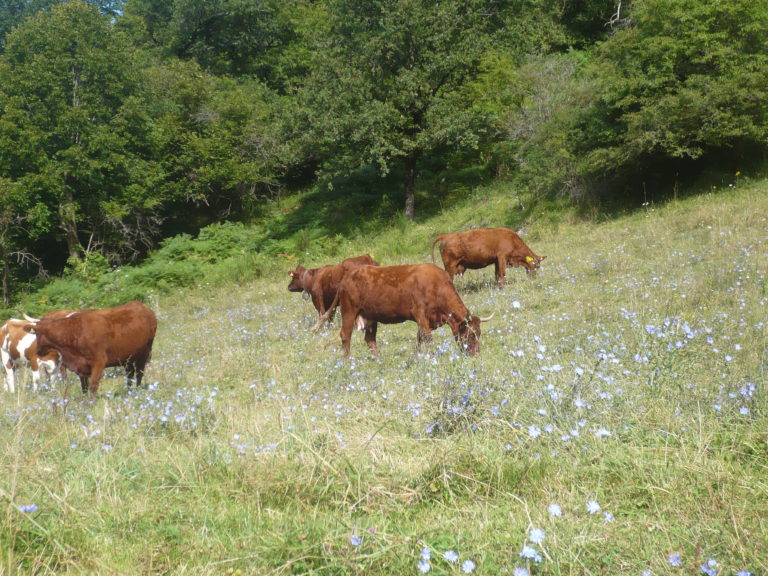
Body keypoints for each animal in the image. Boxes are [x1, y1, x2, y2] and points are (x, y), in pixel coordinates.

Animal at [23, 302, 158, 396]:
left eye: (37, 334)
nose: (38, 352)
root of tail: (142, 306)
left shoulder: (99, 362)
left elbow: (93, 385)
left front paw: (91, 404)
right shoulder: (81, 367)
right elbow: (84, 388)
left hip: (144, 353)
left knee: (139, 374)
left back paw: (137, 392)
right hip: (128, 357)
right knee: (130, 374)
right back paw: (129, 392)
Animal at [312, 264, 492, 356]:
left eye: (479, 333)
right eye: (470, 335)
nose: (476, 354)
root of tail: (347, 276)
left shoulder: (426, 320)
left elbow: (419, 337)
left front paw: (419, 356)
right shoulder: (420, 314)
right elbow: (427, 338)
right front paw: (430, 356)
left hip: (370, 317)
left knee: (370, 339)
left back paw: (378, 359)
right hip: (349, 311)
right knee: (345, 335)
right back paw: (347, 360)